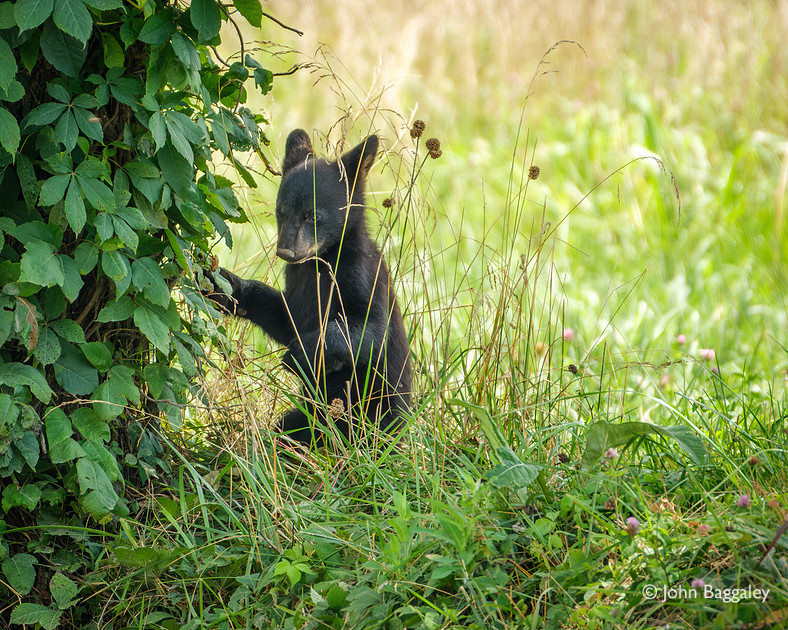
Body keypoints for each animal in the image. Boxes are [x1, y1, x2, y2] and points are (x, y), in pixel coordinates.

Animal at [205, 129, 412, 447]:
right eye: (281, 212)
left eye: (312, 216)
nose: (286, 252)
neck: (318, 263)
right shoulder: (297, 284)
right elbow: (283, 317)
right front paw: (223, 286)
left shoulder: (360, 275)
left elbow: (371, 331)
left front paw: (300, 354)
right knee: (289, 430)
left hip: (372, 414)